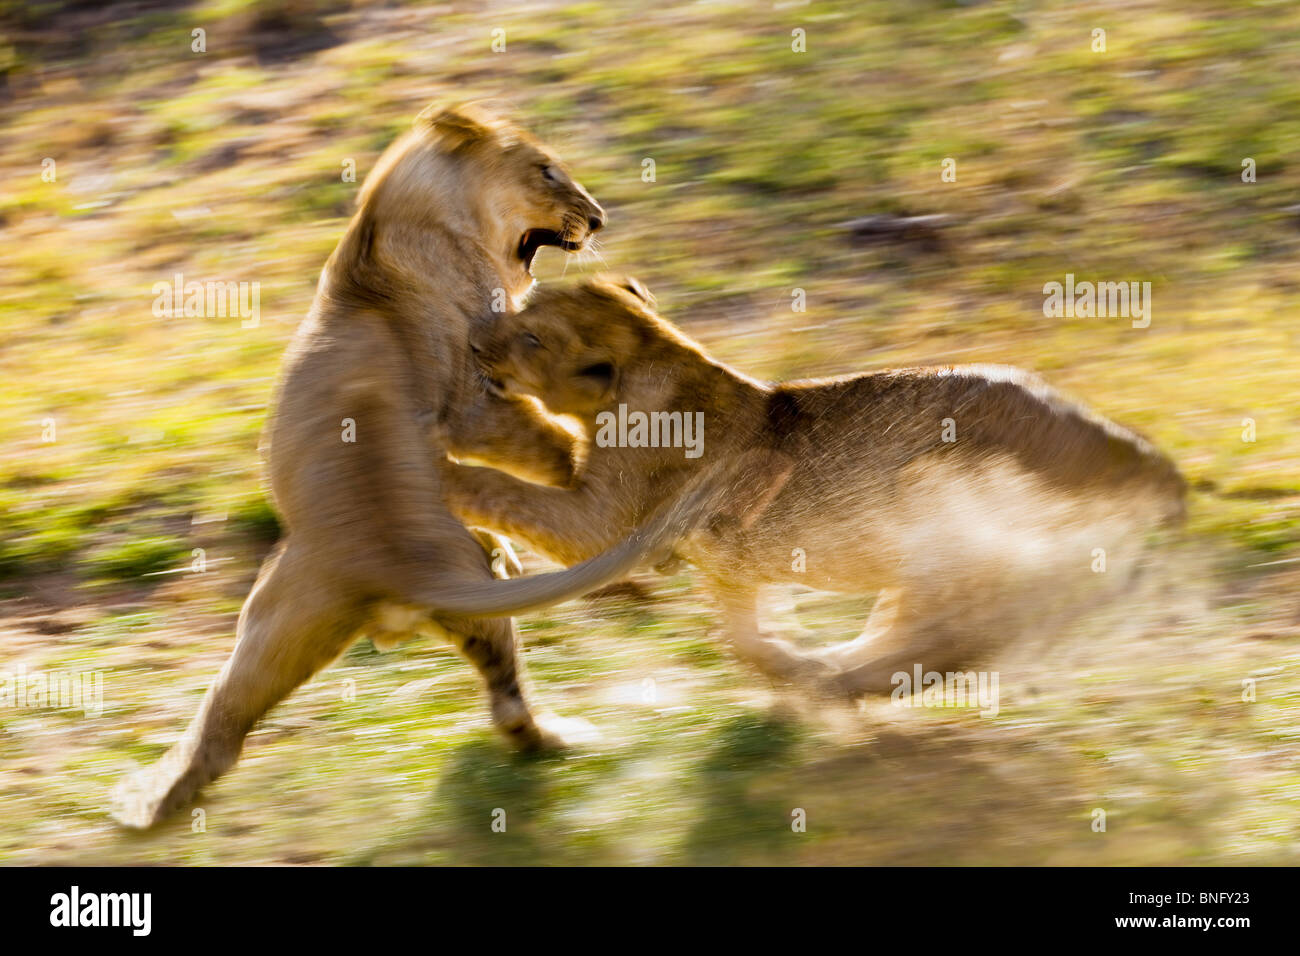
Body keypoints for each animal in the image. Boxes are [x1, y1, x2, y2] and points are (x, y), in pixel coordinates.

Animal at [110, 106, 722, 832]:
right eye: (547, 170)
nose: (598, 218)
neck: (392, 221)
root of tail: (389, 572)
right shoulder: (473, 397)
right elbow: (546, 442)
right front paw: (587, 458)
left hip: (270, 627)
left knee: (223, 724)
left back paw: (152, 801)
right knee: (511, 705)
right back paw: (569, 733)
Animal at [441, 278, 1185, 702]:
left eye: (532, 337)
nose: (473, 337)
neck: (656, 366)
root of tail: (1149, 464)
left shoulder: (605, 523)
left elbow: (507, 492)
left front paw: (443, 463)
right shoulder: (720, 564)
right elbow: (744, 633)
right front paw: (775, 660)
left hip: (948, 505)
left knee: (958, 630)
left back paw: (840, 681)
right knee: (936, 630)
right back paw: (830, 669)